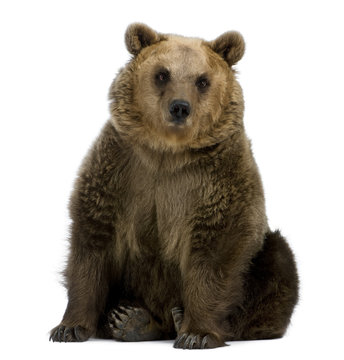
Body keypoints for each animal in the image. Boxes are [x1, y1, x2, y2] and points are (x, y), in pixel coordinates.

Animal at [49, 23, 300, 348]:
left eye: (202, 80)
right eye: (162, 74)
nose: (180, 107)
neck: (167, 152)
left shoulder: (217, 180)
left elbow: (215, 249)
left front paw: (197, 333)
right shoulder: (120, 170)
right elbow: (92, 242)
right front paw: (69, 328)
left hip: (262, 258)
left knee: (278, 265)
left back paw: (179, 320)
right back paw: (131, 319)